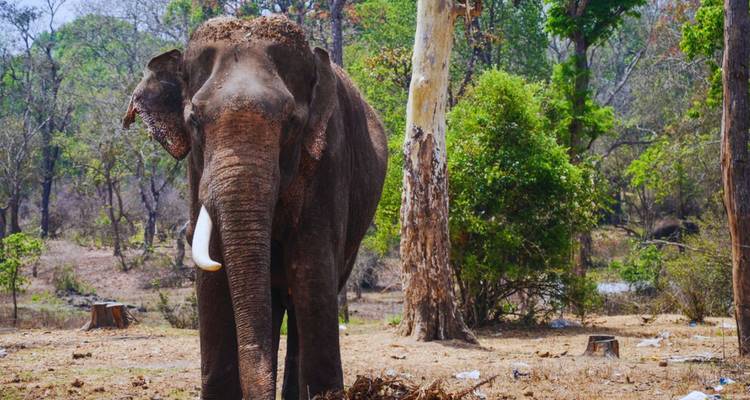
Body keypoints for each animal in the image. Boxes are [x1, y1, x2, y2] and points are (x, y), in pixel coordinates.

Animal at [123, 16, 387, 400]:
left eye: (291, 122)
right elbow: (211, 274)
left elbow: (312, 267)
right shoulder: (196, 172)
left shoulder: (329, 158)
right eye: (194, 121)